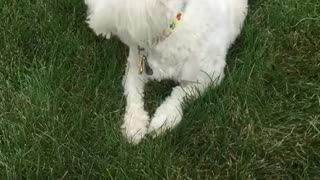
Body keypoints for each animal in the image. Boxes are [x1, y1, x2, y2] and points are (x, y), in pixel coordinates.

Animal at [84, 0, 248, 144]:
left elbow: (180, 94)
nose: (90, 17)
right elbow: (133, 95)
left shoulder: (208, 78)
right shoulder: (136, 67)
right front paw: (134, 124)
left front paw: (164, 120)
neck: (171, 29)